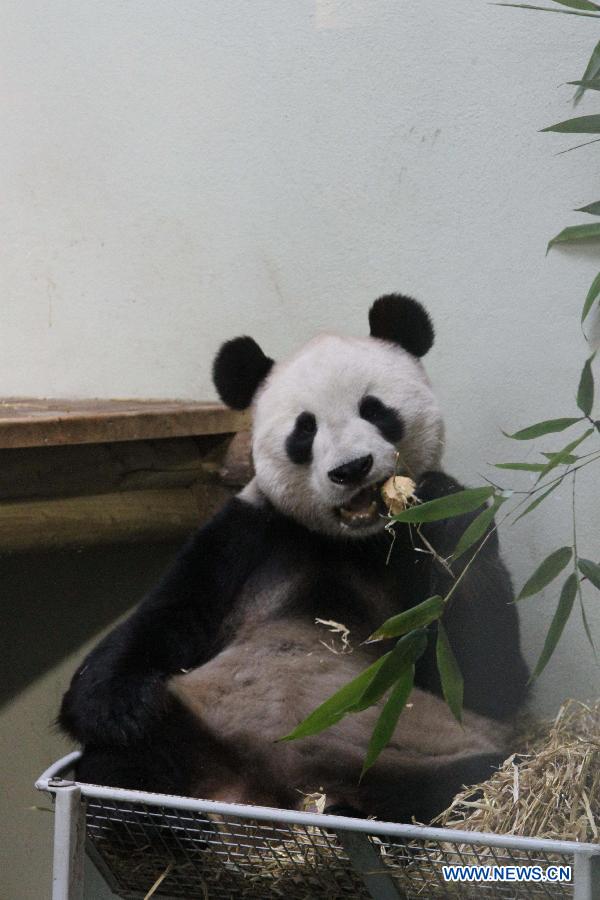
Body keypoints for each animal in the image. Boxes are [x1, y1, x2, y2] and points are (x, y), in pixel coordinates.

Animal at [59, 296, 528, 824]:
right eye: (305, 429)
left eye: (374, 410)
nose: (351, 468)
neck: (348, 539)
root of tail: (264, 792)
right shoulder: (247, 533)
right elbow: (163, 619)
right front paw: (125, 709)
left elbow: (487, 677)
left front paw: (444, 504)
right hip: (192, 729)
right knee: (120, 768)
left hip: (413, 754)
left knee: (457, 786)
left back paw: (349, 818)